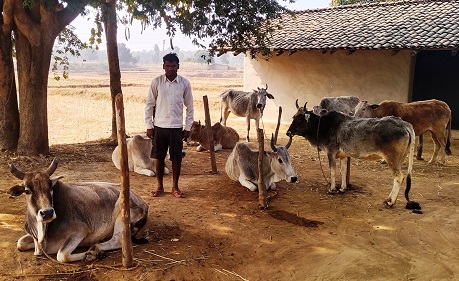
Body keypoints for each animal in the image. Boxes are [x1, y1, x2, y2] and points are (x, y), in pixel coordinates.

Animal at [6, 159, 149, 262]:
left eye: (50, 187)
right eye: (27, 191)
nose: (47, 213)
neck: (43, 232)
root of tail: (143, 202)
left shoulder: (80, 231)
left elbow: (62, 255)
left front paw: (92, 255)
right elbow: (20, 243)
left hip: (122, 213)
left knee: (119, 240)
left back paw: (95, 249)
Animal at [290, 101, 418, 207]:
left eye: (300, 118)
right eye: (294, 116)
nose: (288, 132)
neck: (321, 126)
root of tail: (404, 124)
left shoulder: (331, 153)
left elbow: (332, 172)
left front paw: (332, 189)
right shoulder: (343, 155)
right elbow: (343, 171)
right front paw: (342, 188)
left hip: (392, 159)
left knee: (398, 177)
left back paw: (391, 201)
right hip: (401, 159)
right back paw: (389, 199)